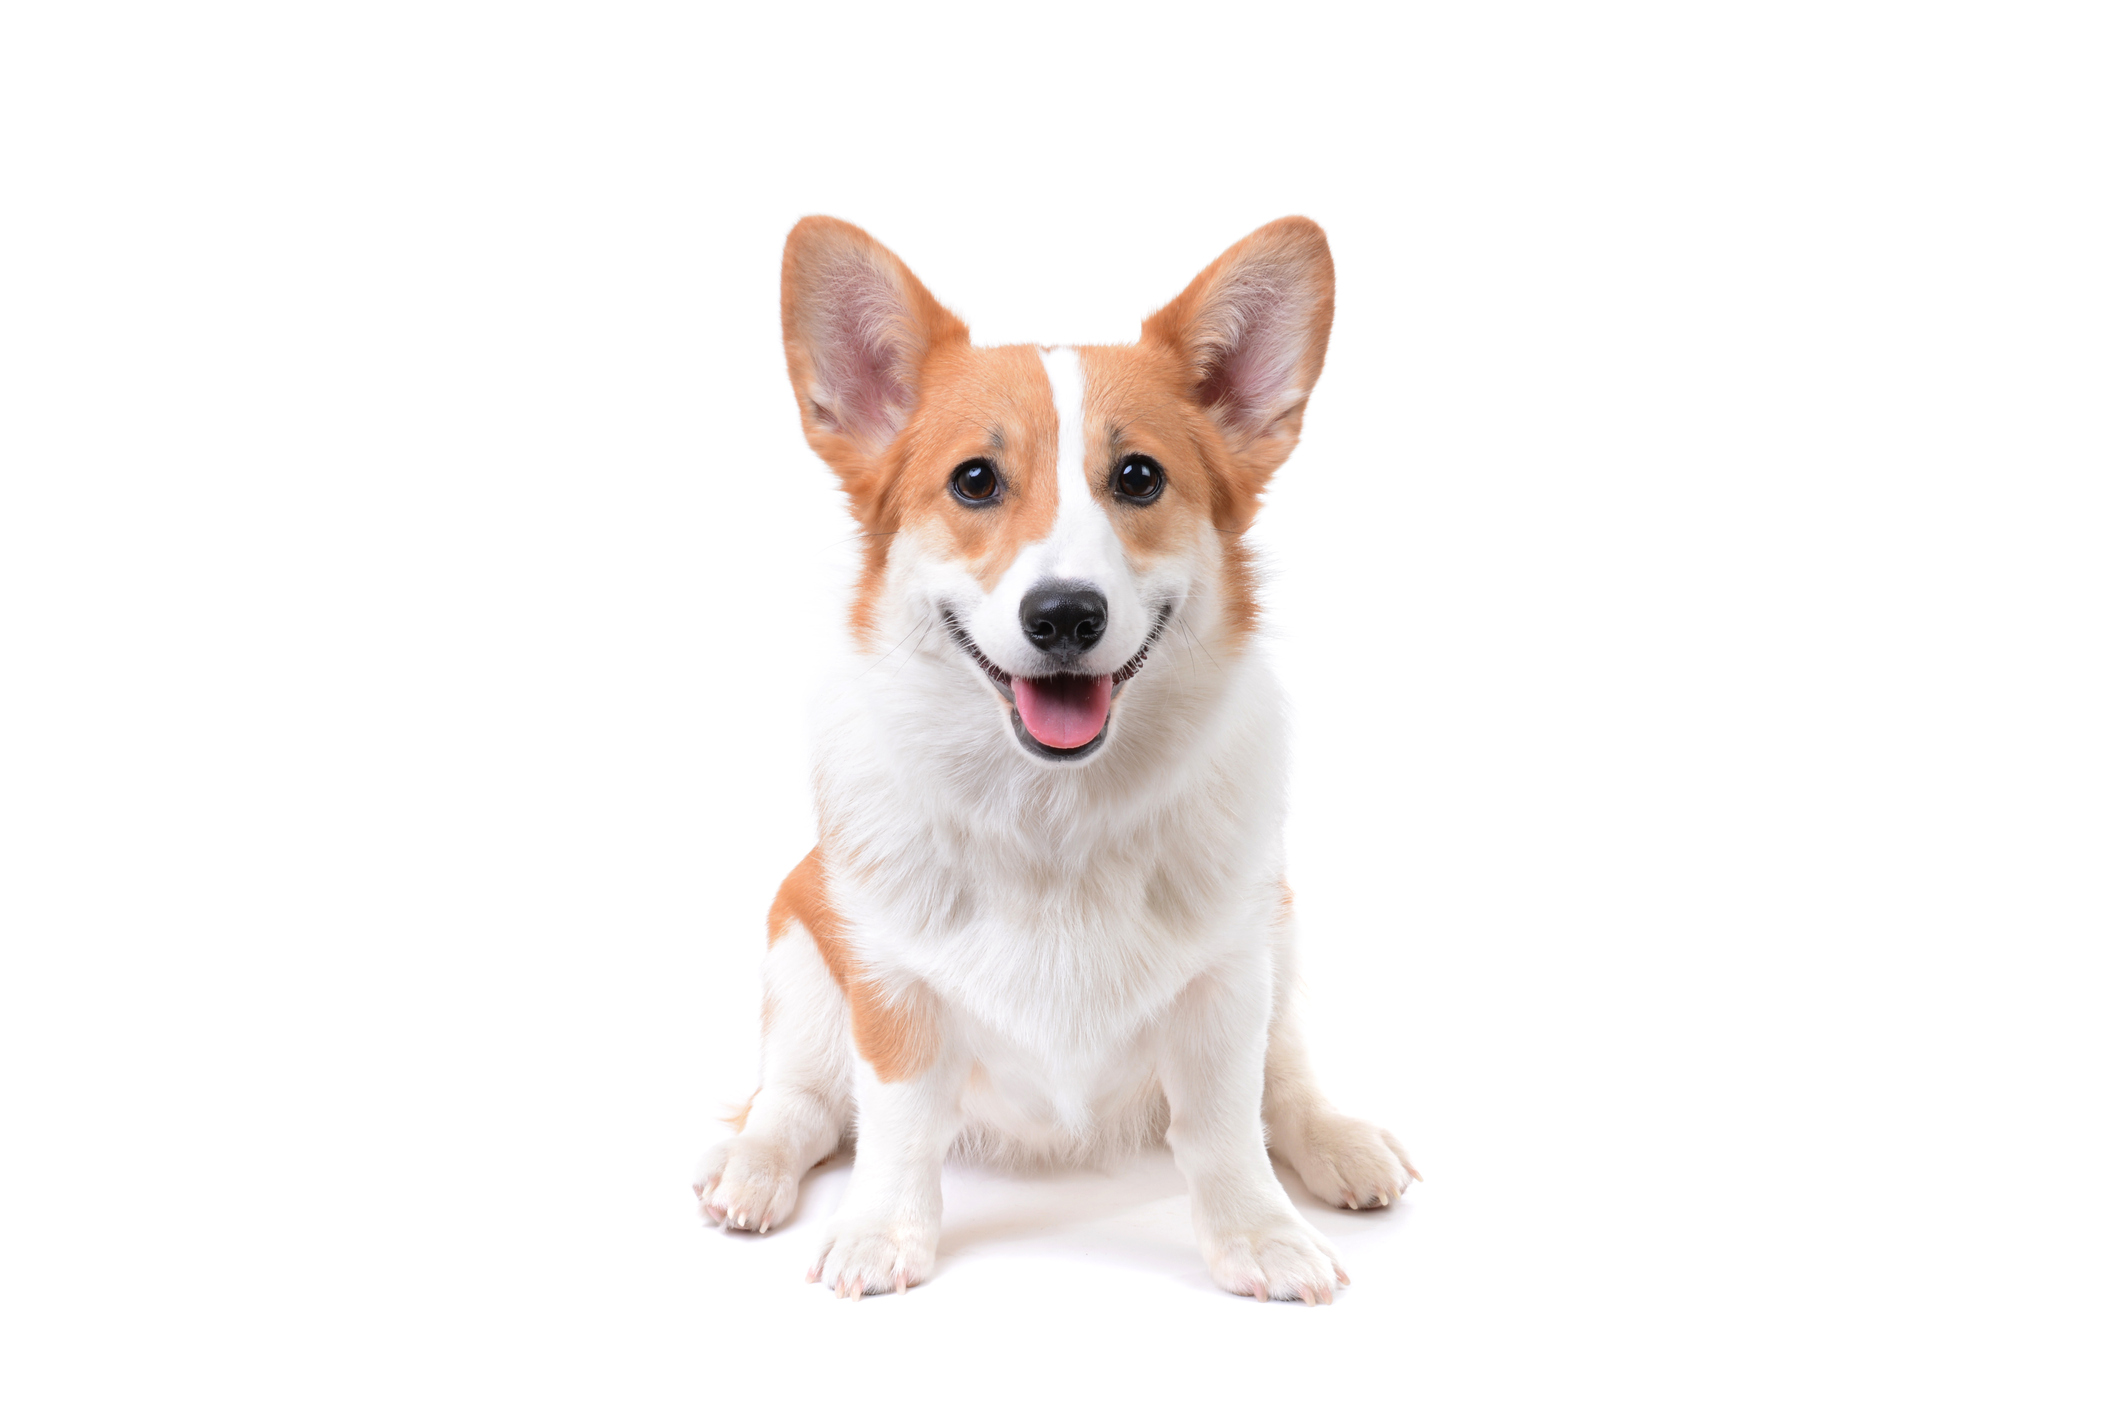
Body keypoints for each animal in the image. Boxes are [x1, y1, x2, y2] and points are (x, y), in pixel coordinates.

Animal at [699, 213, 1425, 1305]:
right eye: (974, 480)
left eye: (1138, 477)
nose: (1065, 614)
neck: (1054, 807)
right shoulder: (886, 983)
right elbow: (895, 1123)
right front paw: (879, 1232)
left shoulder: (1228, 982)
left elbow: (1225, 1125)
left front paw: (1259, 1235)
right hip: (797, 938)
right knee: (798, 1098)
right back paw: (752, 1163)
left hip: (1281, 927)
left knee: (1285, 1074)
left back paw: (1336, 1140)